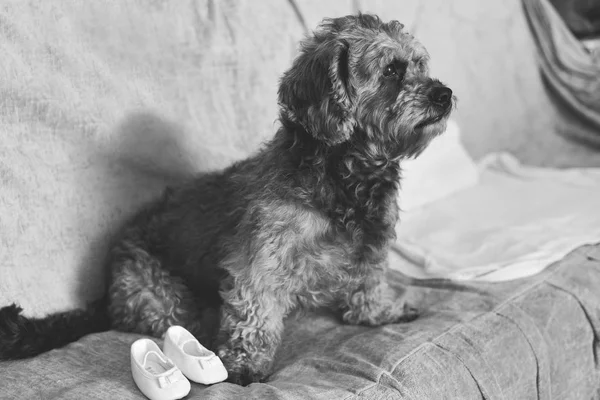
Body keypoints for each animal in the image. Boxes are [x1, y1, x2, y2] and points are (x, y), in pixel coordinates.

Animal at [0, 14, 452, 386]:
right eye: (392, 71)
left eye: (420, 65)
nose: (445, 94)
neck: (347, 175)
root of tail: (104, 294)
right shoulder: (260, 262)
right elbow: (254, 313)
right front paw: (246, 365)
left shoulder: (372, 245)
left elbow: (368, 283)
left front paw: (379, 313)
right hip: (160, 295)